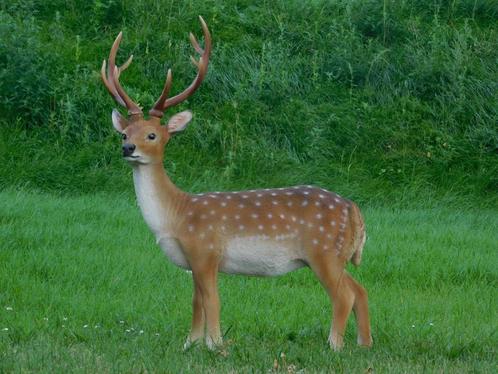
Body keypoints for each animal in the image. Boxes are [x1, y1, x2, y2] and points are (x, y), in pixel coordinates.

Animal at [101, 16, 372, 352]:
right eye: (124, 133)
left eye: (152, 135)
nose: (128, 149)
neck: (176, 215)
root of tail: (353, 208)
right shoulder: (193, 260)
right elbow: (196, 303)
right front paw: (190, 343)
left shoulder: (206, 250)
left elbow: (212, 301)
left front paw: (216, 345)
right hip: (336, 255)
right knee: (360, 289)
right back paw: (364, 344)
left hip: (324, 251)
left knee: (344, 295)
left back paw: (333, 345)